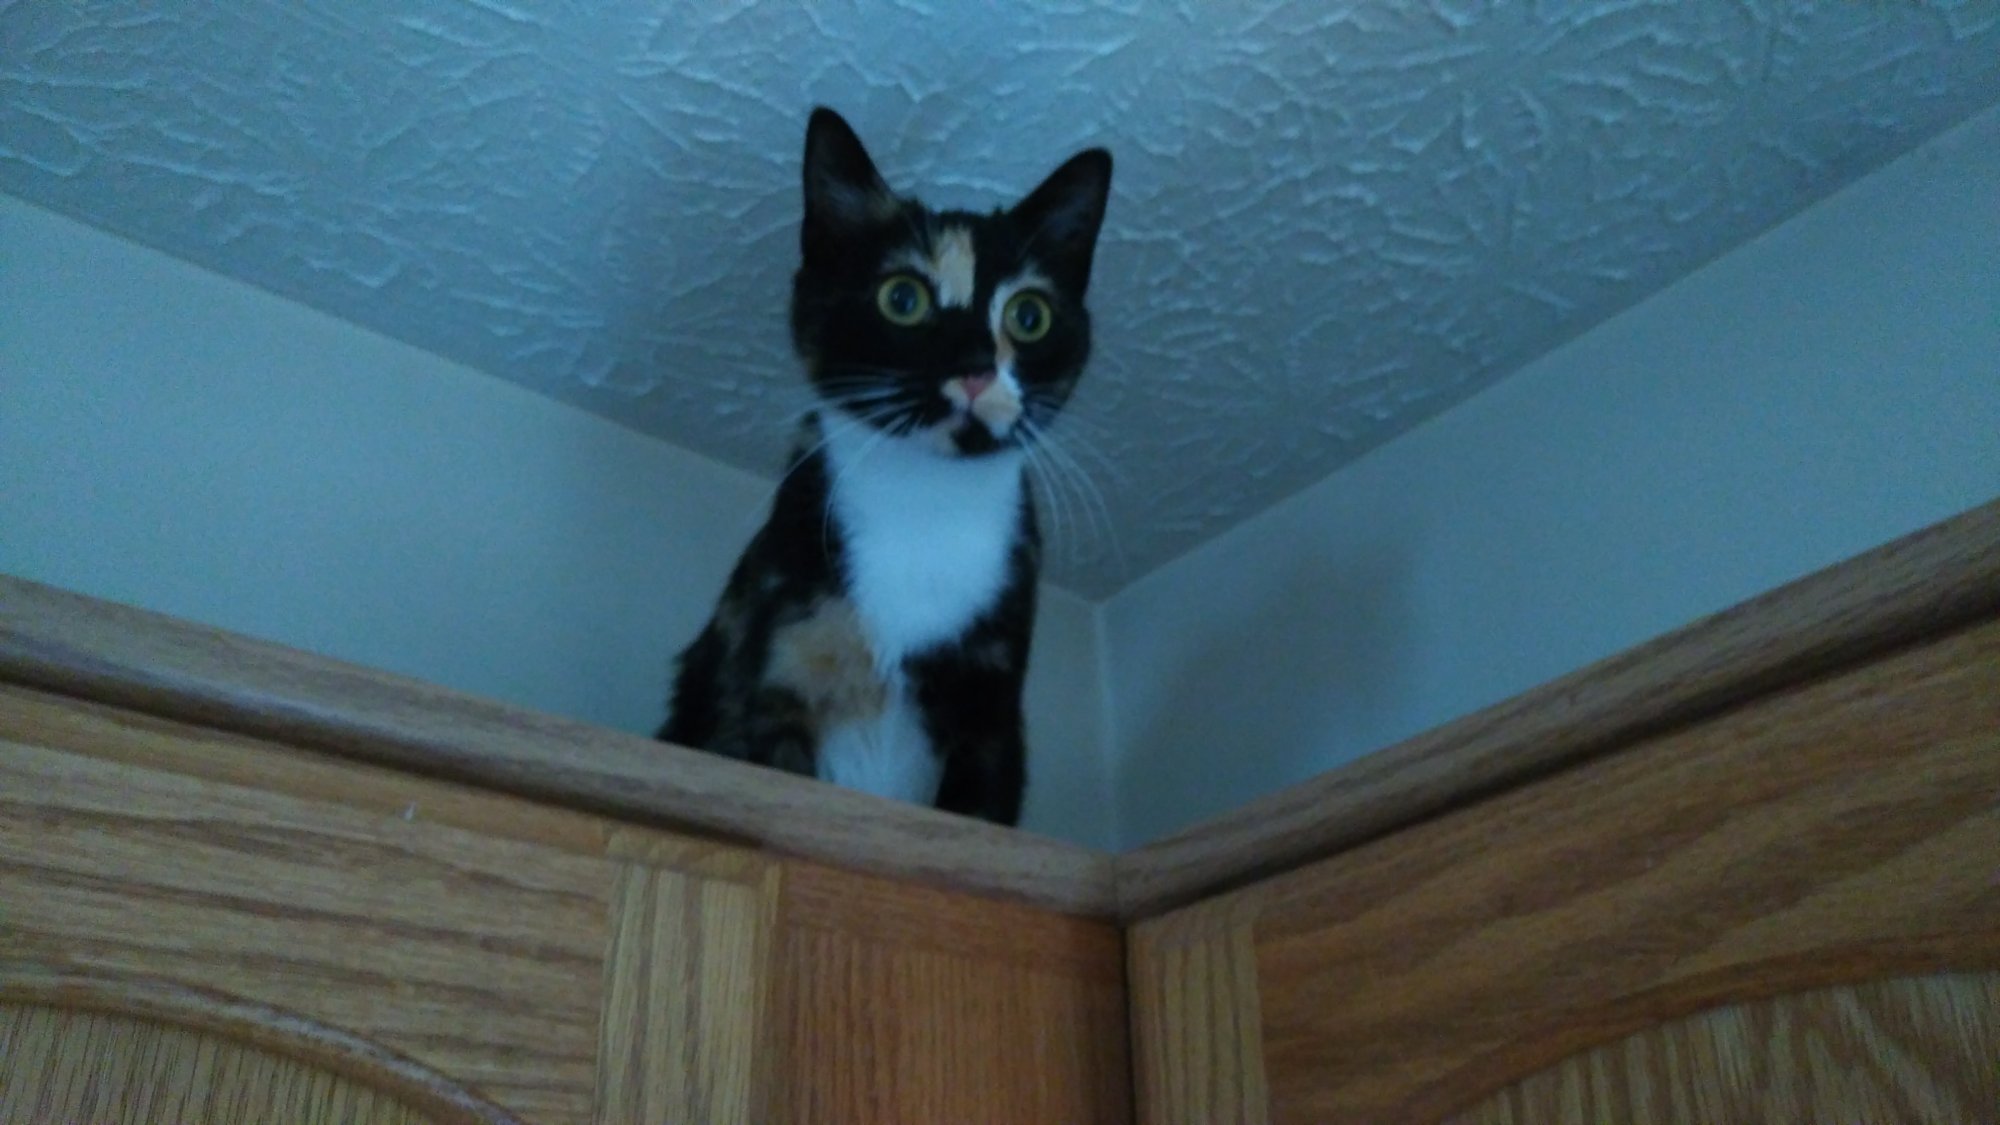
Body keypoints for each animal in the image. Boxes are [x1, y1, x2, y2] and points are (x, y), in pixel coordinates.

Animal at [660, 107, 1112, 824]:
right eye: (903, 299)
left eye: (1029, 314)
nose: (975, 364)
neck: (924, 502)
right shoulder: (772, 684)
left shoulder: (992, 714)